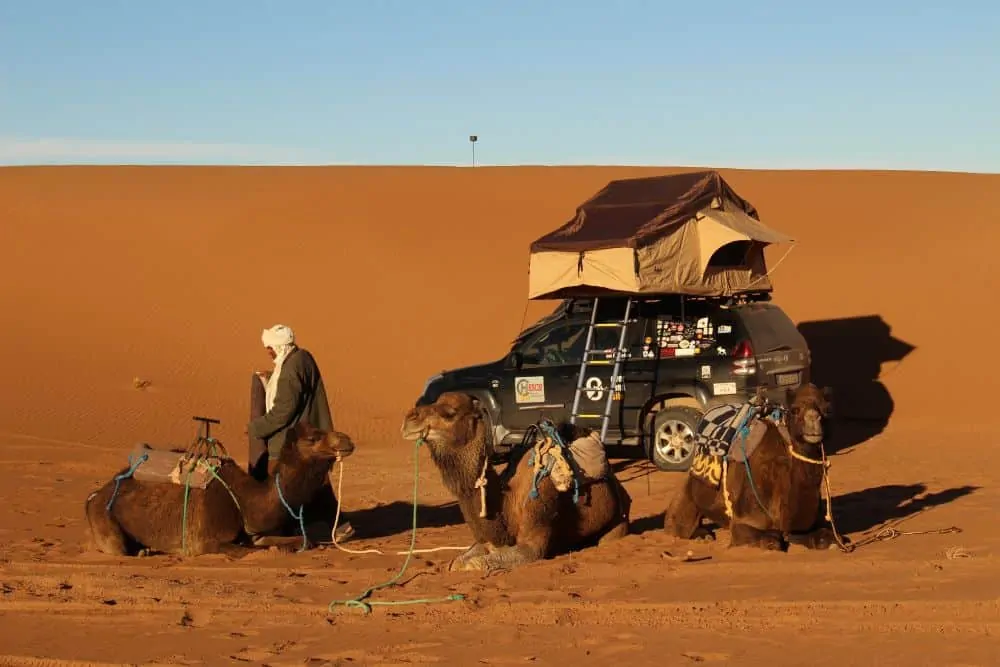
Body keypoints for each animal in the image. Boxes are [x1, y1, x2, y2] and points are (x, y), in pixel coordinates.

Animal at [84, 421, 355, 557]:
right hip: (107, 524)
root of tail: (94, 496)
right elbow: (244, 552)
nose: (347, 440)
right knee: (118, 548)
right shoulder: (204, 541)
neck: (245, 500)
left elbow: (304, 540)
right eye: (312, 438)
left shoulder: (255, 533)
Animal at [400, 391, 631, 573]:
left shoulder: (535, 534)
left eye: (450, 412)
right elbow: (458, 562)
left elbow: (476, 564)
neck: (506, 507)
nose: (409, 418)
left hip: (618, 520)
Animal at [662, 383, 836, 551]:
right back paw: (701, 535)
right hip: (686, 493)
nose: (813, 420)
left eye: (827, 410)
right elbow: (772, 540)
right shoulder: (743, 522)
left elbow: (824, 537)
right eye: (795, 410)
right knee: (678, 526)